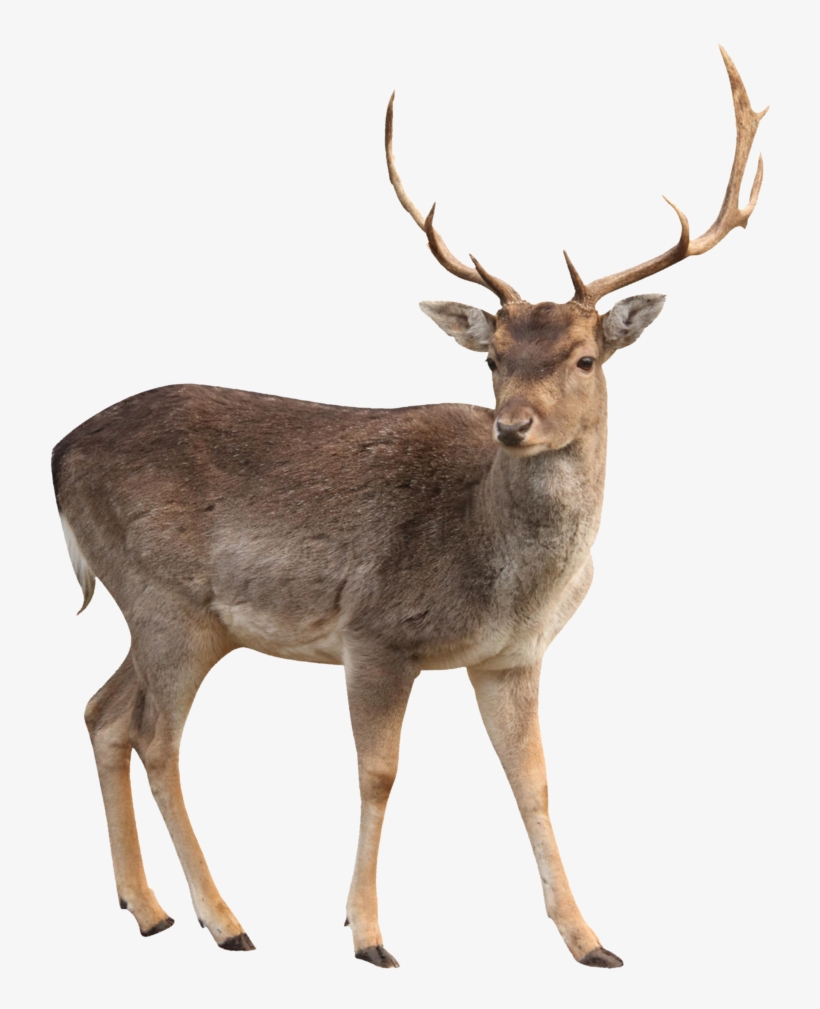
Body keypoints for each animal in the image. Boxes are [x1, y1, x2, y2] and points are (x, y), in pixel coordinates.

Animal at [52, 47, 765, 969]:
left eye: (583, 357)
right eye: (493, 357)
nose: (512, 425)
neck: (505, 576)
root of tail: (56, 454)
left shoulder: (511, 656)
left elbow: (534, 779)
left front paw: (590, 939)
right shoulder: (376, 633)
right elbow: (378, 773)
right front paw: (368, 934)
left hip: (169, 614)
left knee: (103, 712)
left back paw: (147, 907)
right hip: (167, 599)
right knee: (154, 736)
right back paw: (224, 918)